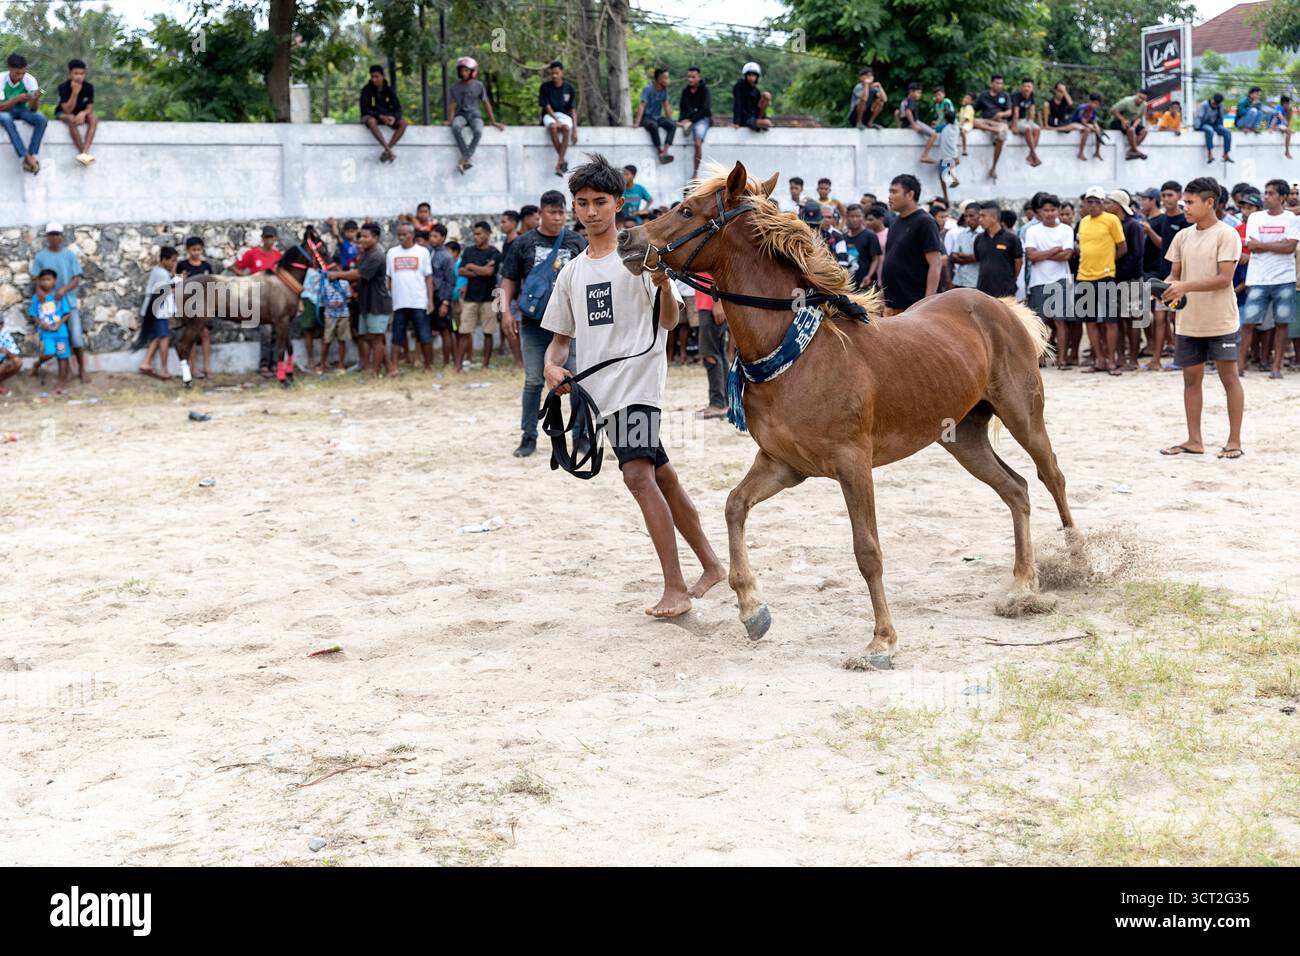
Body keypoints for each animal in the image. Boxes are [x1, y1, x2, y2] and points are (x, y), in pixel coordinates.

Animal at [171, 226, 324, 388]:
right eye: (323, 250)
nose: (331, 268)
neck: (283, 283)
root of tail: (181, 285)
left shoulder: (285, 321)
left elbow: (290, 348)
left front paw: (290, 375)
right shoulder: (281, 322)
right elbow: (281, 349)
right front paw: (283, 380)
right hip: (197, 322)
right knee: (182, 347)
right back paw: (188, 381)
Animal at [617, 161, 1076, 669]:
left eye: (685, 210)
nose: (626, 238)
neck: (797, 350)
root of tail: (999, 305)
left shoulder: (853, 464)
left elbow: (867, 550)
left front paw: (882, 640)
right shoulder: (783, 465)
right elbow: (734, 506)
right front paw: (751, 607)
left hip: (1023, 414)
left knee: (1051, 475)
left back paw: (1077, 557)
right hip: (963, 437)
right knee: (1016, 489)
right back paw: (1021, 585)